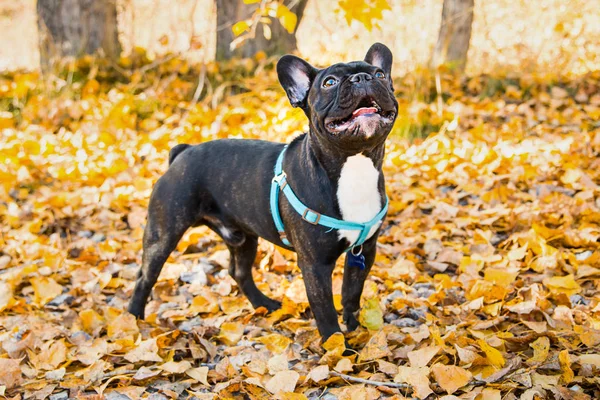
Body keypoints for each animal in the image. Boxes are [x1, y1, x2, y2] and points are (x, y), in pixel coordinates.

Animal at [129, 42, 396, 340]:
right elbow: (325, 310)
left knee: (239, 271)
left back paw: (264, 304)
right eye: (330, 82)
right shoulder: (315, 266)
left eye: (380, 75)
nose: (363, 78)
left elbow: (351, 292)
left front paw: (355, 329)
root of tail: (182, 152)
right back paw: (133, 319)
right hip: (163, 232)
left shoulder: (364, 251)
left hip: (244, 236)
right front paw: (336, 345)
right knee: (145, 276)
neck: (353, 165)